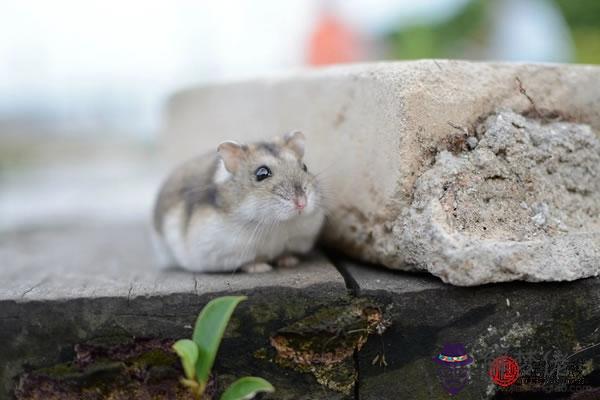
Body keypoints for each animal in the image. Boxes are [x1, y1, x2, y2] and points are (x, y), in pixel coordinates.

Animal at [152, 131, 326, 272]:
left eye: (304, 167)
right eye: (262, 173)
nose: (302, 203)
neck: (276, 224)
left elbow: (285, 253)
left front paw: (289, 262)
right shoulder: (221, 252)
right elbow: (246, 261)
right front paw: (261, 268)